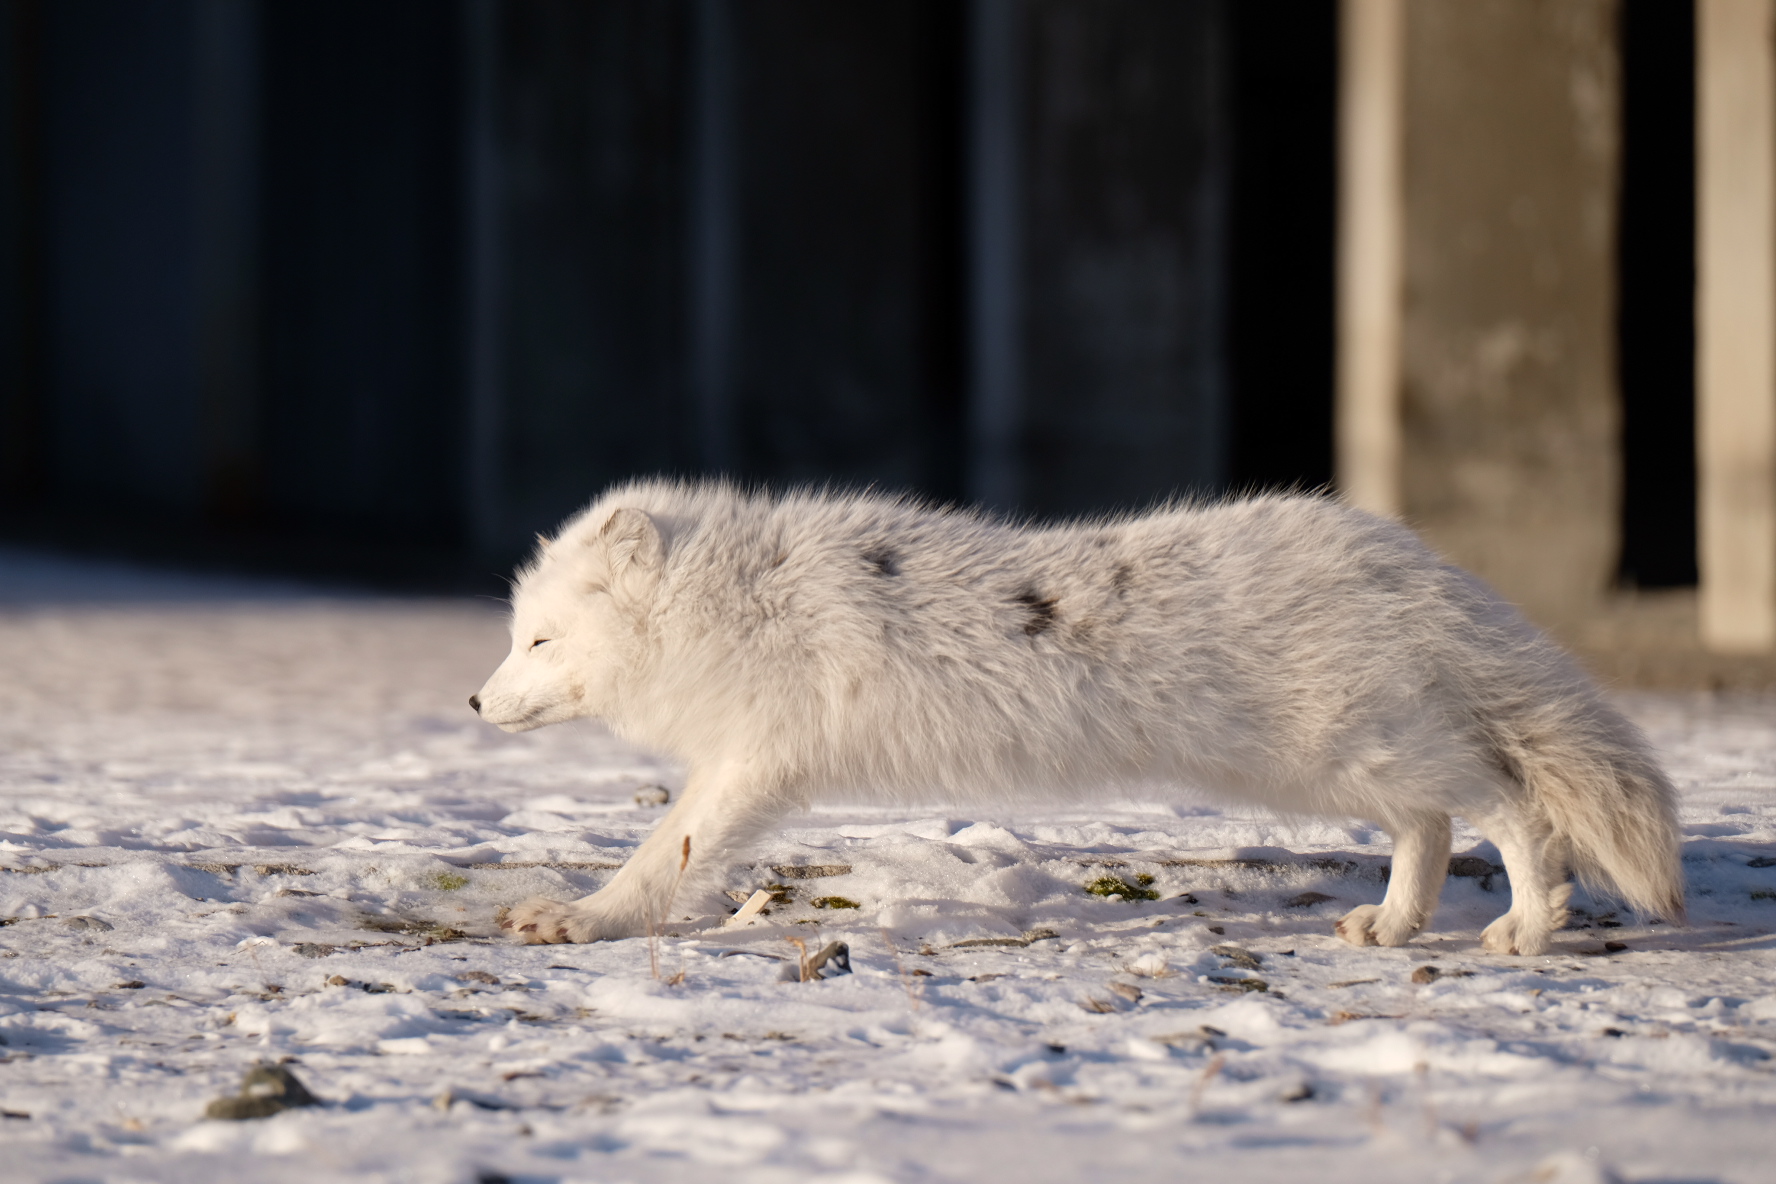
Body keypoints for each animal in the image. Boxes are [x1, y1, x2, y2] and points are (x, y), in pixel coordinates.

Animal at [468, 479, 1676, 951]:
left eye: (539, 642)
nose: (474, 699)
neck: (736, 604)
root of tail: (1400, 554)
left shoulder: (751, 764)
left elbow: (665, 852)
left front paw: (584, 917)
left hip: (1353, 753)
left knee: (1511, 804)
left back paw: (1528, 924)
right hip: (1357, 764)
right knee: (1432, 824)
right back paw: (1391, 925)